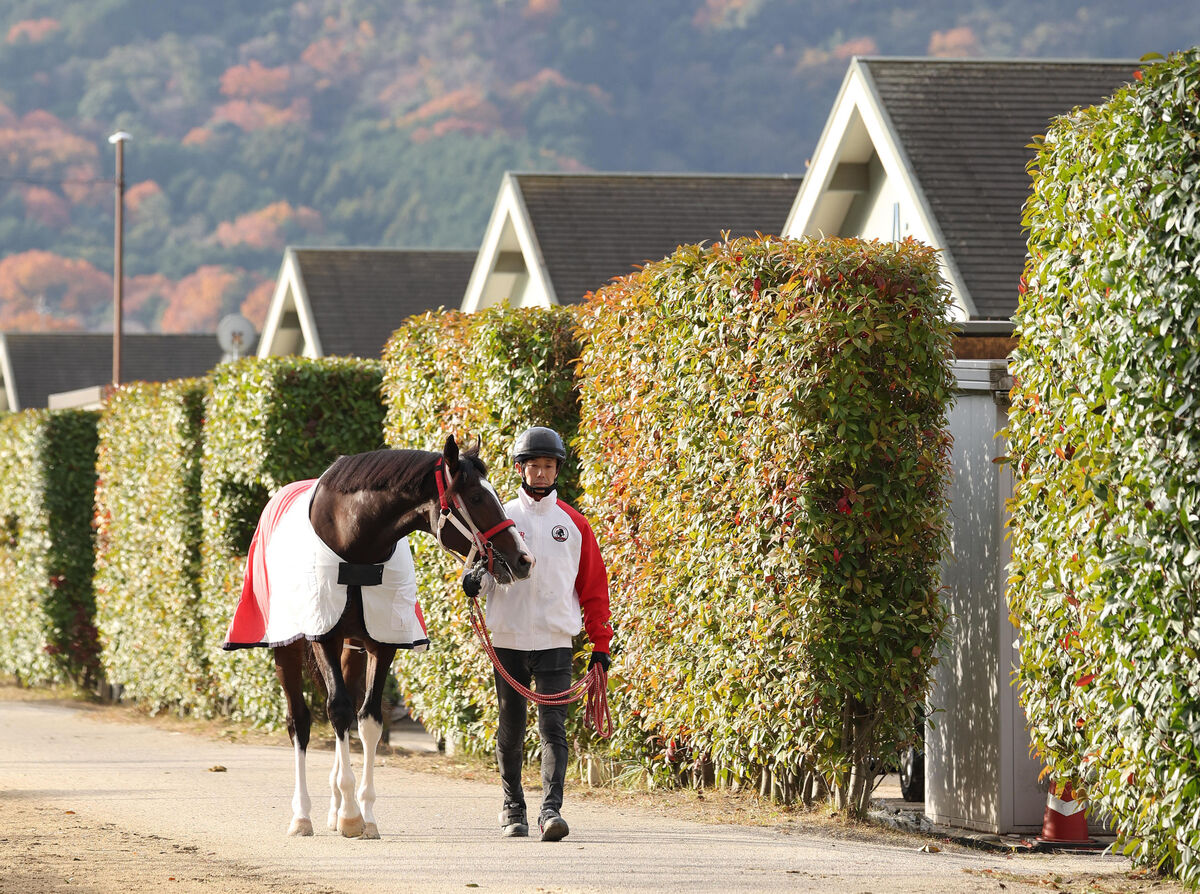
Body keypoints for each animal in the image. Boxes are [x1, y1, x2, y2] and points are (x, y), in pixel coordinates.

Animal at [223, 432, 532, 835]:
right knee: (300, 722)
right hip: (287, 647)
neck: (354, 543)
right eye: (478, 498)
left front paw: (362, 813)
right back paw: (302, 814)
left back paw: (335, 807)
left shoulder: (382, 641)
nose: (524, 559)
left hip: (351, 650)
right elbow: (337, 710)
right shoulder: (323, 636)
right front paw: (351, 814)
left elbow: (367, 719)